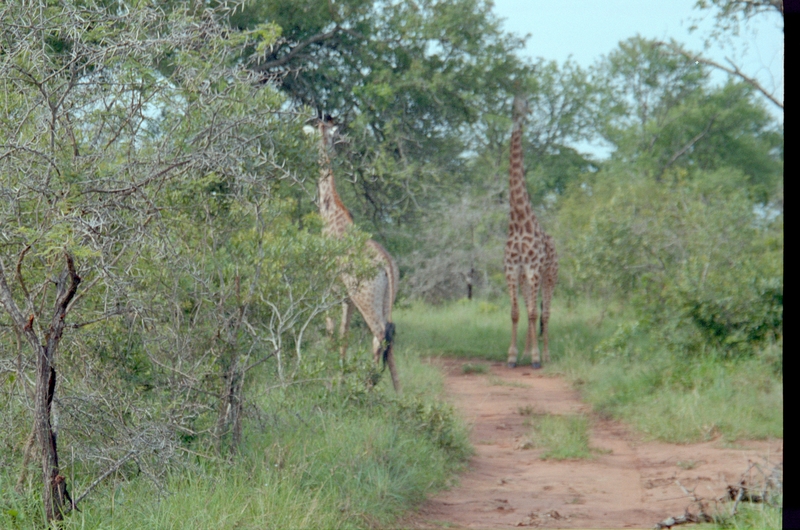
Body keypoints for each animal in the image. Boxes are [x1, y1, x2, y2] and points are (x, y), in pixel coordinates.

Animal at [312, 114, 400, 388]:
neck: (331, 214)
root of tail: (386, 264)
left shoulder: (329, 289)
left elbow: (332, 332)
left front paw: (329, 378)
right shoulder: (346, 297)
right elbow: (345, 333)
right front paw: (339, 378)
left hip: (366, 296)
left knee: (380, 333)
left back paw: (368, 387)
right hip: (384, 297)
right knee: (390, 334)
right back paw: (399, 392)